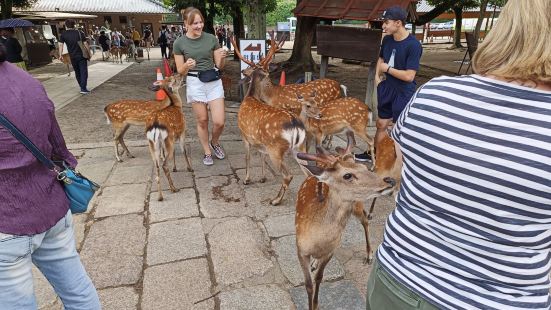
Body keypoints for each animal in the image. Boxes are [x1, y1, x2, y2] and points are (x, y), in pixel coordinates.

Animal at [239, 70, 308, 206]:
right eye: (267, 78)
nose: (272, 85)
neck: (250, 97)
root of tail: (295, 124)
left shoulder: (245, 136)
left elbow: (247, 158)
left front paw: (246, 180)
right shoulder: (261, 143)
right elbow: (262, 157)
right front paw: (263, 178)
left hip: (276, 149)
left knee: (288, 176)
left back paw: (275, 200)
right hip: (299, 147)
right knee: (310, 173)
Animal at [294, 131, 396, 310]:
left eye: (364, 168)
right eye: (347, 175)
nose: (389, 180)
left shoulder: (331, 251)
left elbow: (319, 277)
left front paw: (316, 304)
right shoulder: (300, 250)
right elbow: (308, 284)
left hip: (357, 205)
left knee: (365, 221)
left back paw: (369, 255)